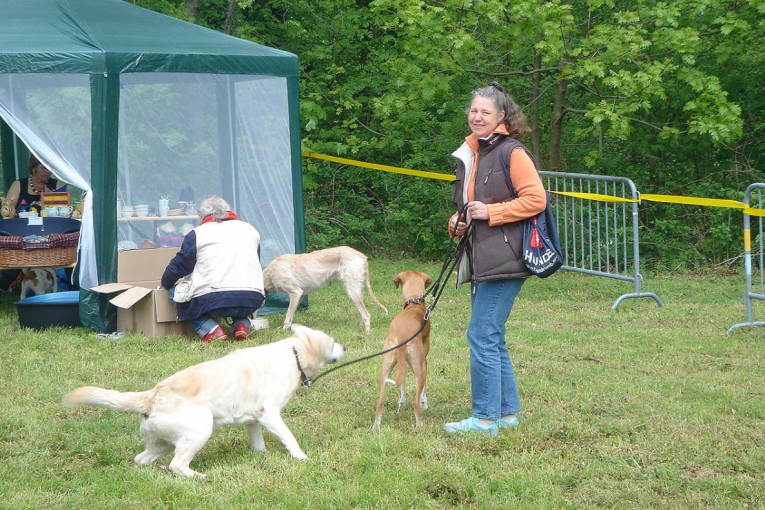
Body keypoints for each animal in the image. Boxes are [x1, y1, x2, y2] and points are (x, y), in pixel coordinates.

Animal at [64, 326, 344, 478]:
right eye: (332, 343)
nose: (345, 348)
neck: (294, 354)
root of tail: (151, 396)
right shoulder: (270, 413)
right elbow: (289, 437)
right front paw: (301, 457)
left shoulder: (254, 419)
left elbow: (257, 442)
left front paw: (261, 457)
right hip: (200, 430)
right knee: (177, 464)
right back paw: (198, 476)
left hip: (162, 442)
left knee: (142, 459)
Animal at [374, 268, 432, 428]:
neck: (414, 303)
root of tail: (401, 335)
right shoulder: (424, 361)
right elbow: (423, 392)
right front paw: (425, 403)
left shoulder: (403, 363)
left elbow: (402, 385)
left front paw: (401, 402)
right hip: (418, 368)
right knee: (416, 403)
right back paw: (420, 425)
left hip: (385, 368)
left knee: (380, 403)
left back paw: (375, 426)